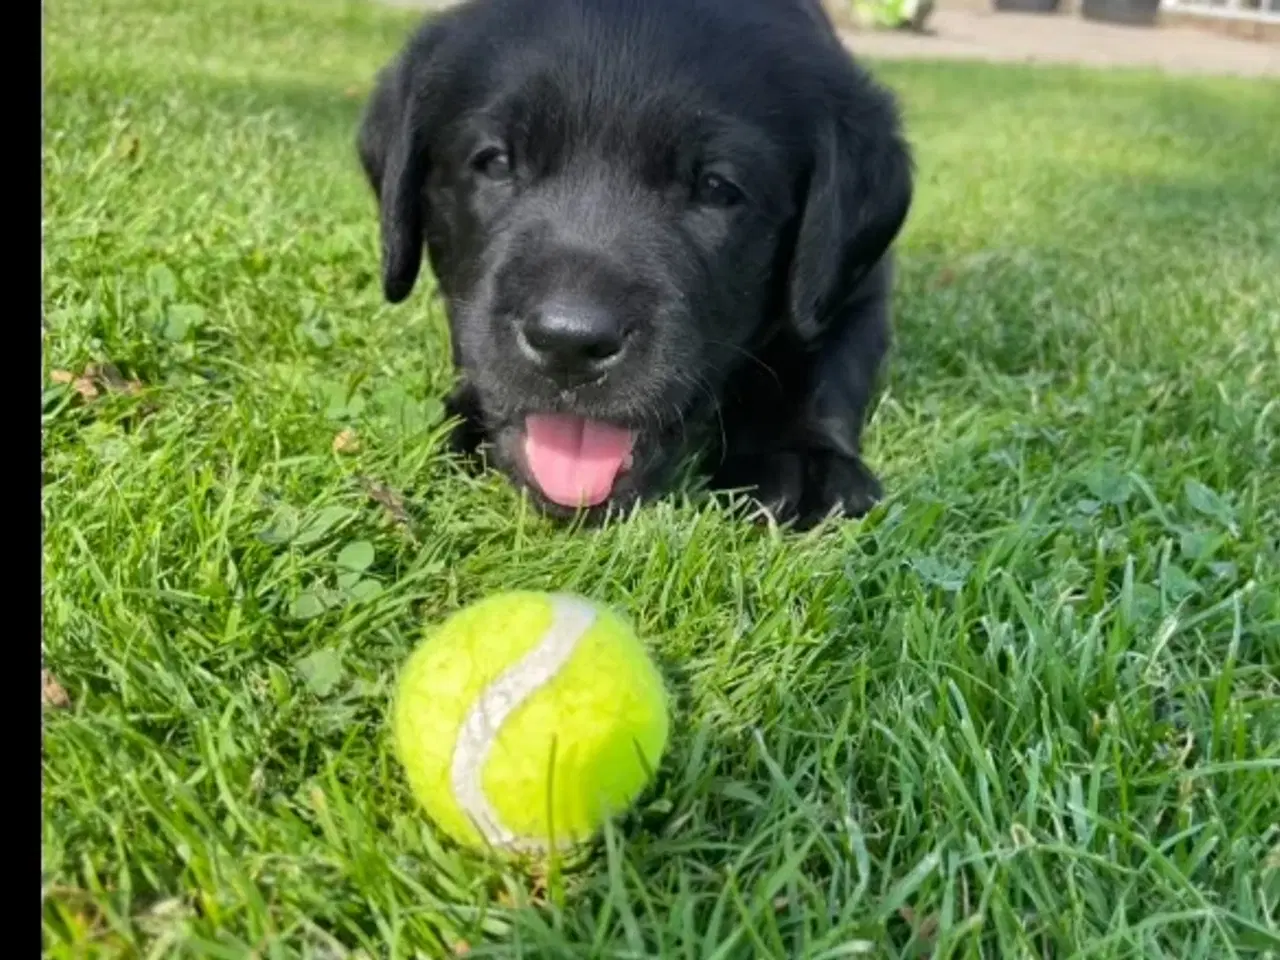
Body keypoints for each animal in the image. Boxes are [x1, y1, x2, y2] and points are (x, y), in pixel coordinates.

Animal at [358, 0, 911, 529]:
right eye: (495, 162)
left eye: (716, 188)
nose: (568, 343)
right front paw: (470, 413)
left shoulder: (858, 286)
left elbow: (824, 358)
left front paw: (800, 457)